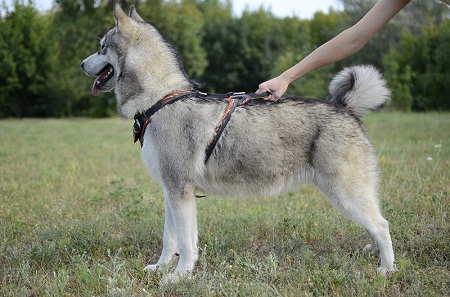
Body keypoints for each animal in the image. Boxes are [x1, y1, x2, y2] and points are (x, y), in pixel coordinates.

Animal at [81, 2, 398, 280]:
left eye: (101, 47)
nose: (81, 64)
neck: (161, 99)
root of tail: (344, 106)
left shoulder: (180, 191)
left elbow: (184, 244)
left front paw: (178, 277)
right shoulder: (171, 191)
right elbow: (171, 240)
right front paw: (162, 269)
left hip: (345, 192)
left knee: (382, 225)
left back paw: (386, 269)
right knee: (376, 224)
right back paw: (374, 253)